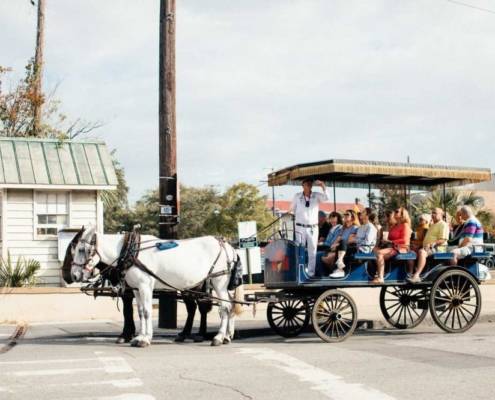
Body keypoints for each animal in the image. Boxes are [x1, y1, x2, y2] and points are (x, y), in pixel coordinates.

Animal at [70, 225, 245, 346]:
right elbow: (140, 312)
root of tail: (228, 246)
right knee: (229, 305)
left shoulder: (145, 286)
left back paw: (218, 337)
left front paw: (145, 339)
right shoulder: (136, 289)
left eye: (81, 249)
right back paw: (227, 336)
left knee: (224, 308)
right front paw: (139, 336)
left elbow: (147, 312)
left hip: (218, 281)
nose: (74, 275)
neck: (130, 251)